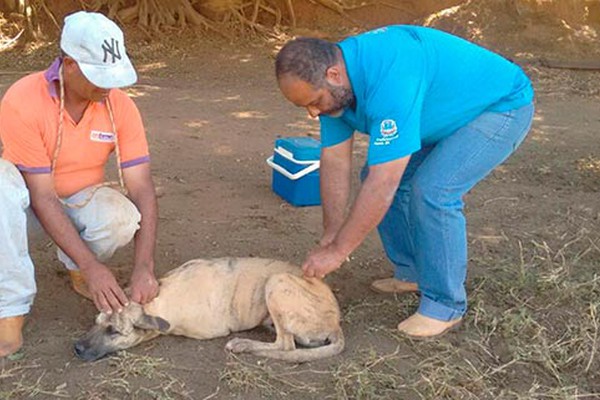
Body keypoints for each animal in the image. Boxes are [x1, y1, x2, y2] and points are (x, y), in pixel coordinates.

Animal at [75, 258, 344, 364]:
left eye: (113, 331)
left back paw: (243, 344)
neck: (159, 300)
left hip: (276, 282)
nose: (76, 348)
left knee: (285, 345)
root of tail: (336, 322)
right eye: (96, 321)